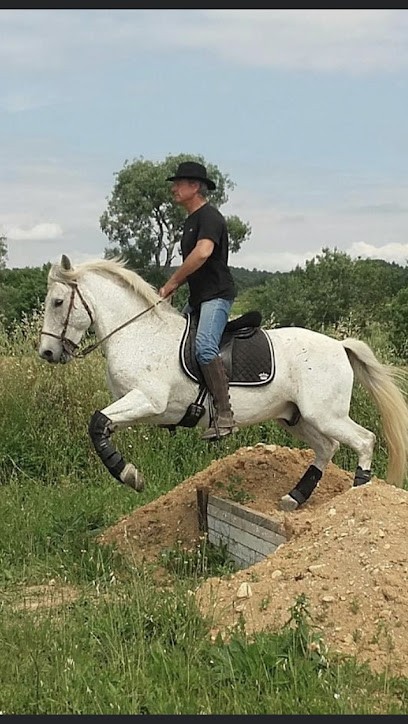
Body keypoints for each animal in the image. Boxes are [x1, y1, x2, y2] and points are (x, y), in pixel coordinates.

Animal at [38, 254, 408, 511]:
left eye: (57, 302)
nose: (47, 352)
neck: (138, 333)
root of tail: (339, 345)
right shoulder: (144, 407)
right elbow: (102, 427)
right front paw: (127, 471)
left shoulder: (148, 400)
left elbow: (96, 423)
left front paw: (129, 475)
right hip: (295, 417)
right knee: (326, 448)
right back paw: (294, 497)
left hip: (325, 414)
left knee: (364, 440)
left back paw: (359, 494)